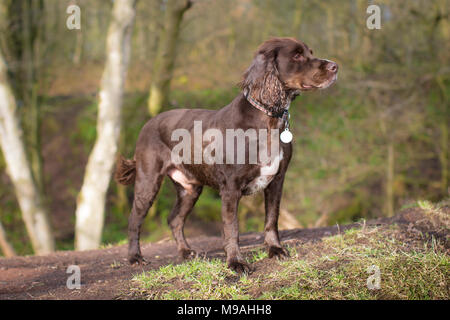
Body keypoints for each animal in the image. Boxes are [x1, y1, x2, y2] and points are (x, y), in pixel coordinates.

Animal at [116, 37, 338, 272]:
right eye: (296, 55)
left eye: (310, 52)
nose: (335, 66)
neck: (267, 120)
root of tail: (148, 123)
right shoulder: (231, 187)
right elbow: (232, 227)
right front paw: (236, 262)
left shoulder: (277, 180)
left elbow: (272, 218)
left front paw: (275, 249)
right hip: (148, 181)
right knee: (134, 220)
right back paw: (135, 257)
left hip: (190, 188)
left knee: (174, 219)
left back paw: (186, 252)